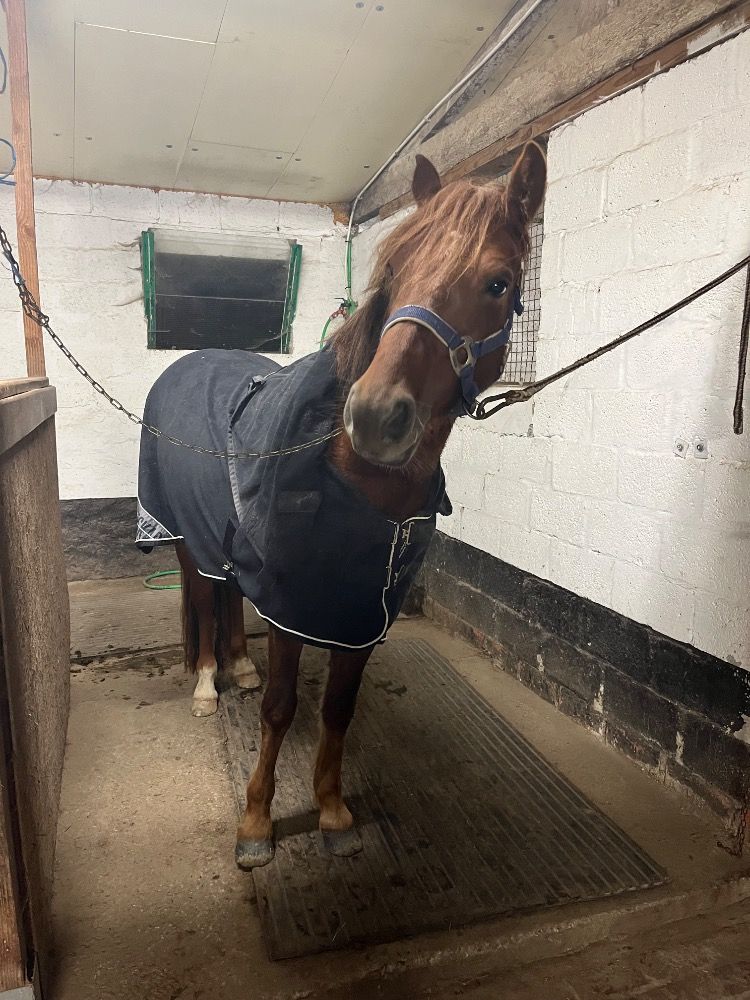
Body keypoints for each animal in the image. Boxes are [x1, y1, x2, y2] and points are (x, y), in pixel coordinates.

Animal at [136, 142, 546, 868]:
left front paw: (330, 811)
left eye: (498, 283)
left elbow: (338, 709)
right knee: (205, 599)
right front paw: (256, 823)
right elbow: (280, 709)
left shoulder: (359, 610)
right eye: (397, 267)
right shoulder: (293, 605)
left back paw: (239, 665)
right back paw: (210, 684)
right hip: (189, 541)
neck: (356, 482)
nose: (377, 416)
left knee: (230, 598)